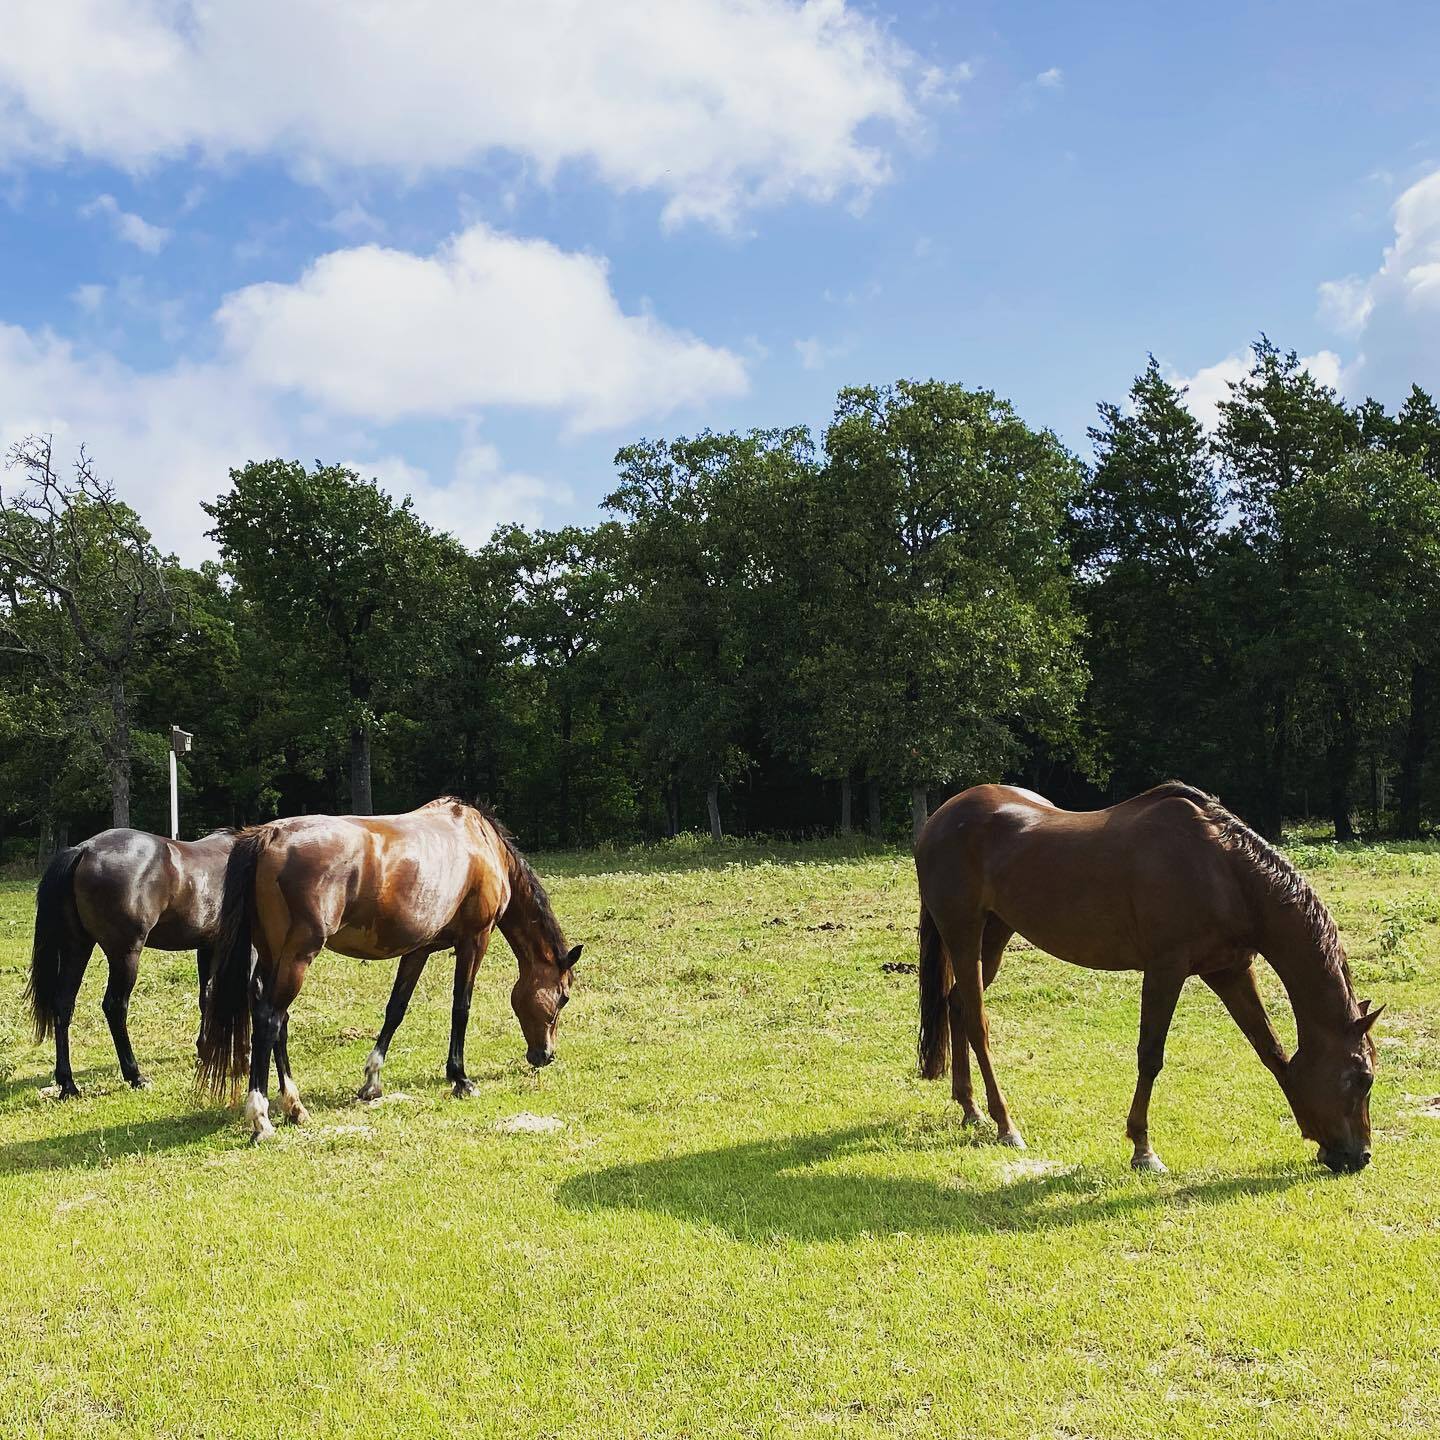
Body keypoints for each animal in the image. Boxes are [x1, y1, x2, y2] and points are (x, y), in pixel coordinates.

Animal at [26, 827, 239, 1097]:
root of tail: (84, 850)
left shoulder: (207, 945)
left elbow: (207, 996)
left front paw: (204, 1049)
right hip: (125, 956)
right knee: (115, 1007)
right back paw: (134, 1075)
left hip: (78, 947)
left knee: (63, 1004)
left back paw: (68, 1084)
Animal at [196, 798, 581, 1141]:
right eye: (562, 997)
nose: (545, 1055)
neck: (481, 843)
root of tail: (270, 835)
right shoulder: (475, 939)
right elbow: (461, 1007)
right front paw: (460, 1078)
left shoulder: (418, 949)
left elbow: (396, 1009)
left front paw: (372, 1081)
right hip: (297, 956)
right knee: (269, 1019)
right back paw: (261, 1119)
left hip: (273, 956)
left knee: (278, 1020)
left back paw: (295, 1107)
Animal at [915, 782, 1382, 1174]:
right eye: (1362, 1078)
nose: (1359, 1157)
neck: (1223, 871)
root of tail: (939, 818)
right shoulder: (1165, 970)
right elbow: (1150, 1055)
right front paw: (1143, 1149)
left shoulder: (1229, 970)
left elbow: (1270, 1049)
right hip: (963, 931)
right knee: (977, 1022)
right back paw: (1004, 1124)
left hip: (995, 933)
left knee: (957, 1004)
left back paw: (970, 1108)